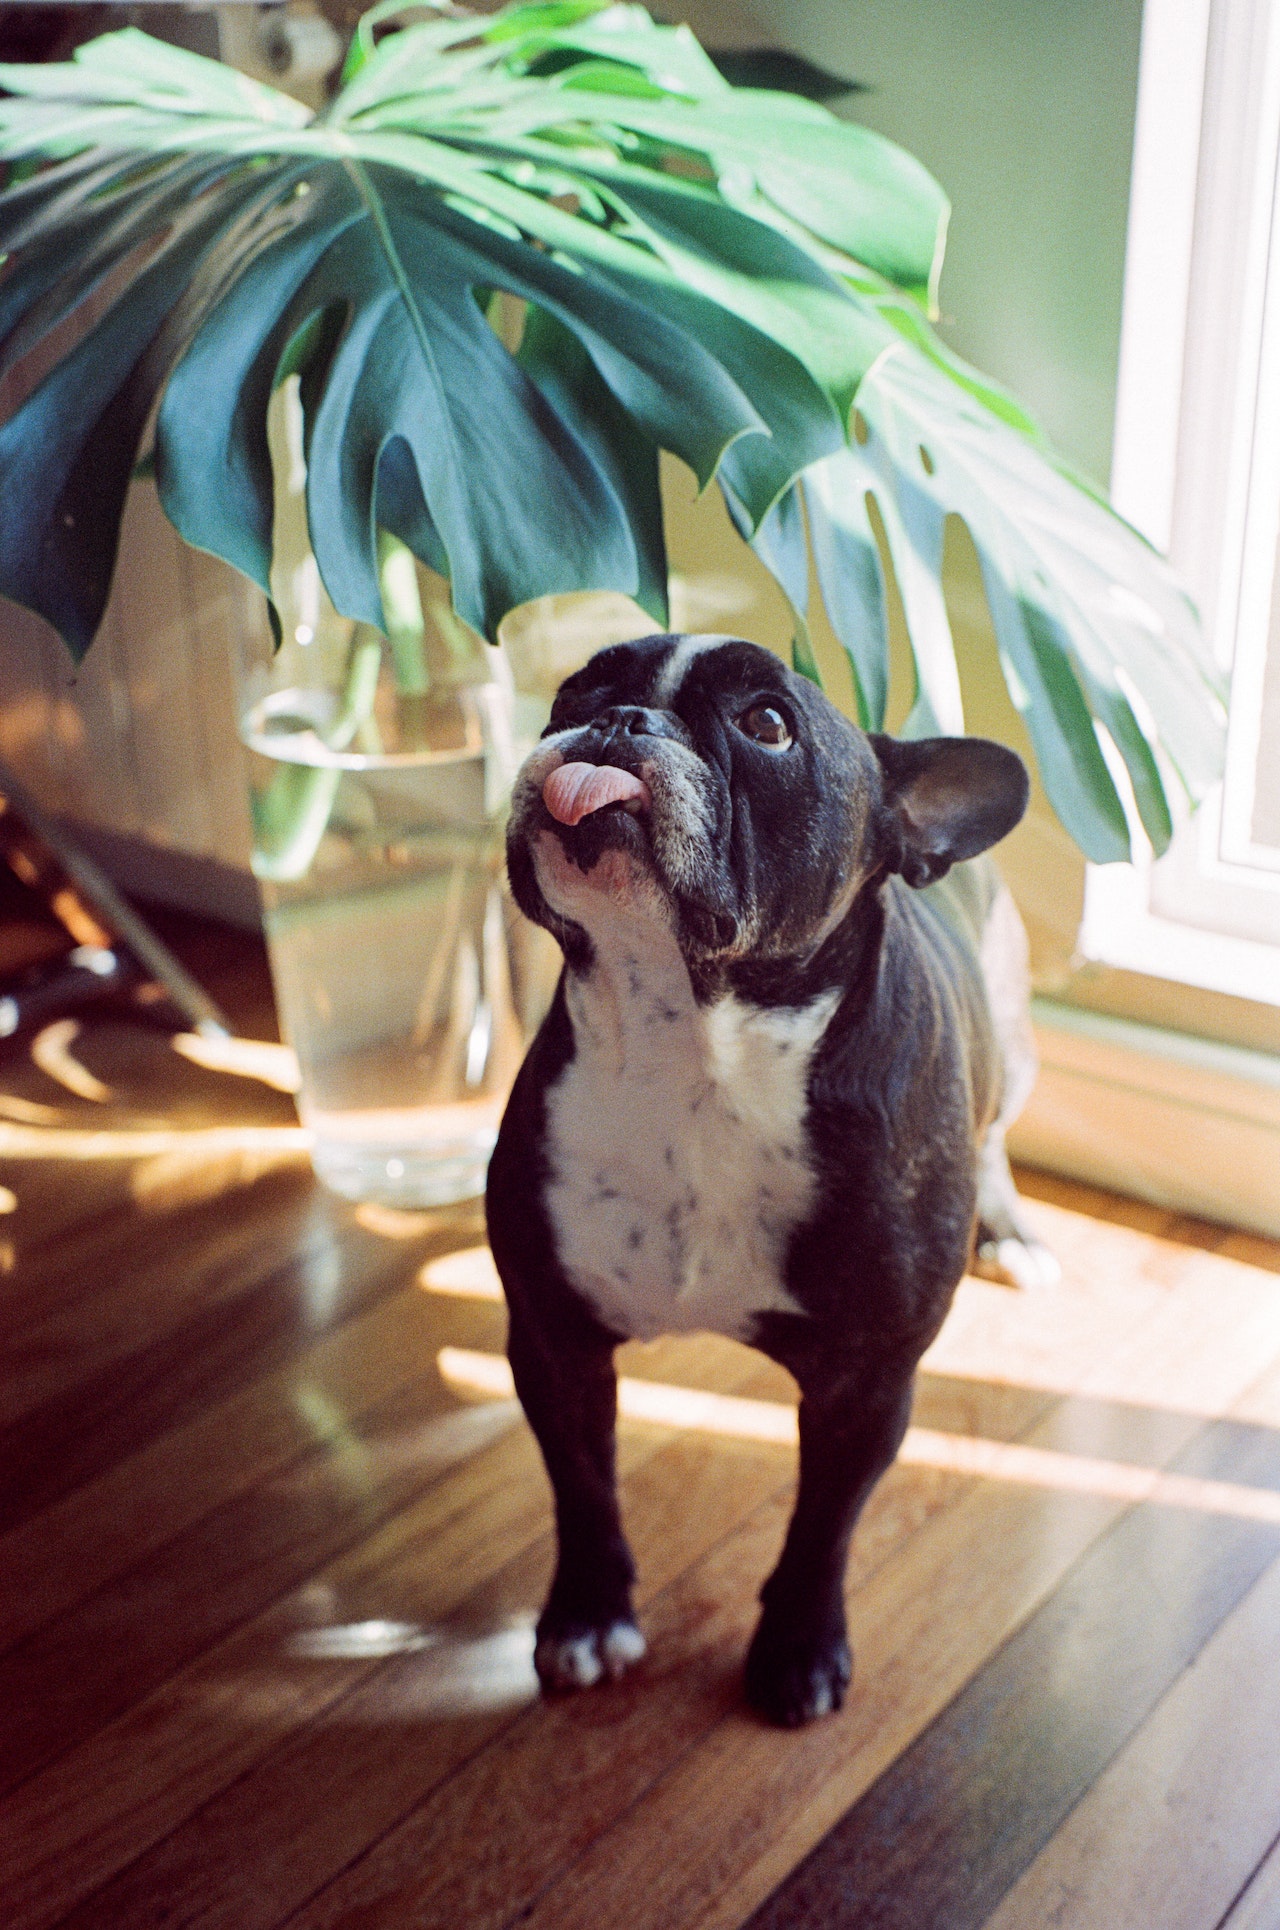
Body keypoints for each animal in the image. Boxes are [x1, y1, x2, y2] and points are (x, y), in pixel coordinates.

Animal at [486, 636, 1057, 1737]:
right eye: (574, 691)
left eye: (765, 726)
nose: (618, 719)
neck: (693, 1051)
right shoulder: (552, 1338)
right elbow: (582, 1487)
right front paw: (587, 1616)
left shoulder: (865, 1386)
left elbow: (821, 1528)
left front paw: (798, 1648)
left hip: (1011, 1049)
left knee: (1000, 1129)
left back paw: (1010, 1229)